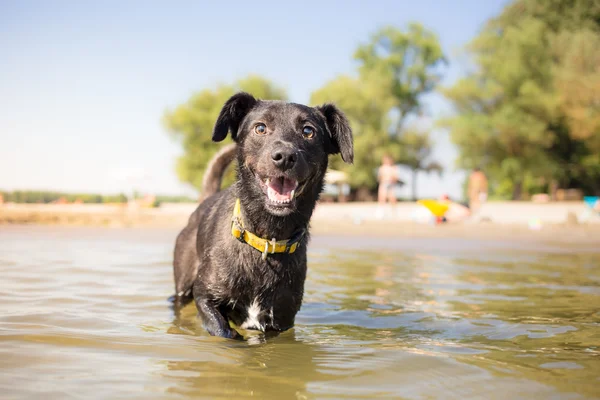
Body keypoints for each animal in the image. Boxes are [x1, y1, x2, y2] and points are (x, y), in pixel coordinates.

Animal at [171, 92, 354, 340]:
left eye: (308, 131)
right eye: (260, 128)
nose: (284, 156)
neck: (267, 239)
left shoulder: (282, 320)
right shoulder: (205, 295)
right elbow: (223, 330)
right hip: (182, 285)